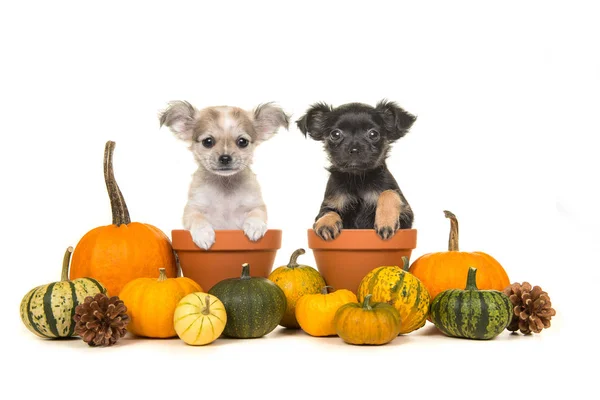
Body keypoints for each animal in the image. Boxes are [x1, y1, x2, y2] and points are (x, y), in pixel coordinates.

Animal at [158, 101, 290, 250]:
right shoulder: (192, 209)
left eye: (242, 142)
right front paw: (203, 234)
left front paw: (254, 226)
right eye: (208, 141)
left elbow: (256, 213)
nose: (225, 158)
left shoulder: (255, 205)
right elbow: (197, 218)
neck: (225, 185)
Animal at [296, 100, 418, 241]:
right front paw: (326, 223)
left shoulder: (407, 215)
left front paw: (385, 221)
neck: (358, 178)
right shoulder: (330, 203)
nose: (354, 149)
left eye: (373, 134)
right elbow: (328, 212)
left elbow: (389, 193)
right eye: (335, 134)